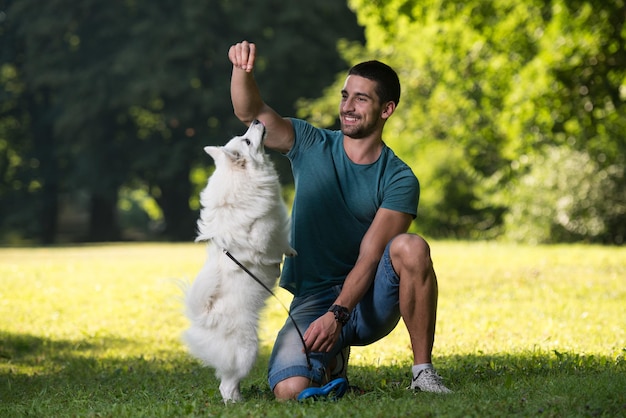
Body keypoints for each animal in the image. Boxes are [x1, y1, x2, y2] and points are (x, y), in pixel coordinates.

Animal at [183, 120, 294, 402]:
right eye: (247, 141)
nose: (256, 120)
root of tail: (205, 317)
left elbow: (285, 243)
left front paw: (290, 254)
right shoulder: (267, 232)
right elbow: (275, 243)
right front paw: (282, 258)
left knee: (226, 379)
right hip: (248, 350)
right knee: (227, 384)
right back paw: (238, 403)